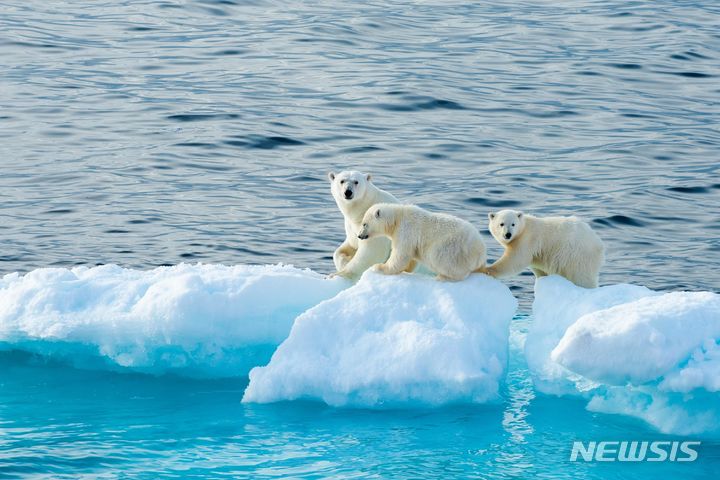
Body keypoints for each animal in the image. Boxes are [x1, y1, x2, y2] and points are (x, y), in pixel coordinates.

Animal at [358, 203, 486, 282]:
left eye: (364, 224)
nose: (359, 235)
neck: (397, 218)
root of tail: (481, 252)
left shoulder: (406, 230)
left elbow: (400, 254)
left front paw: (379, 267)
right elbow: (409, 257)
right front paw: (407, 270)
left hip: (453, 247)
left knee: (440, 257)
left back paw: (443, 277)